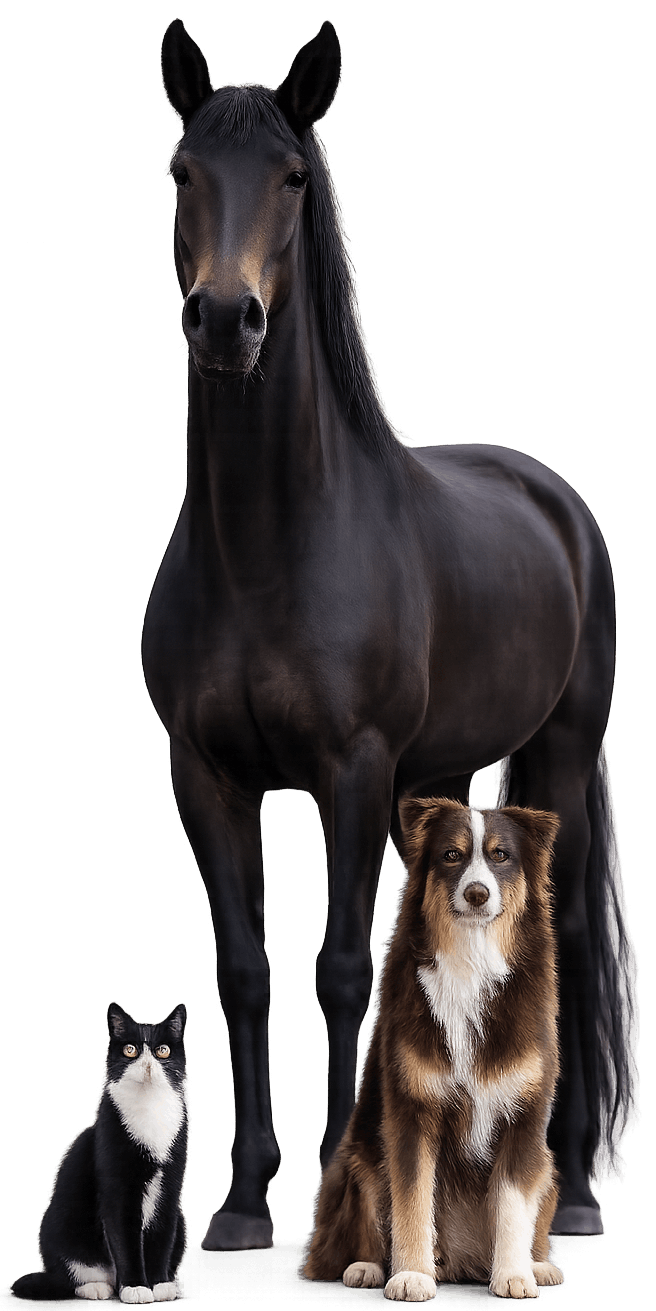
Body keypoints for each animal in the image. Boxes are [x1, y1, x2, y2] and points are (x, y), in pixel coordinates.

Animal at [143, 18, 638, 1251]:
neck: (267, 542)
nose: (225, 320)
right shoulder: (204, 776)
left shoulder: (351, 770)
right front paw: (239, 1205)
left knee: (562, 942)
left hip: (558, 752)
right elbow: (247, 970)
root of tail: (557, 502)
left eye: (291, 177)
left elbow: (336, 970)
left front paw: (334, 1176)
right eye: (181, 173)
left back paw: (570, 1196)